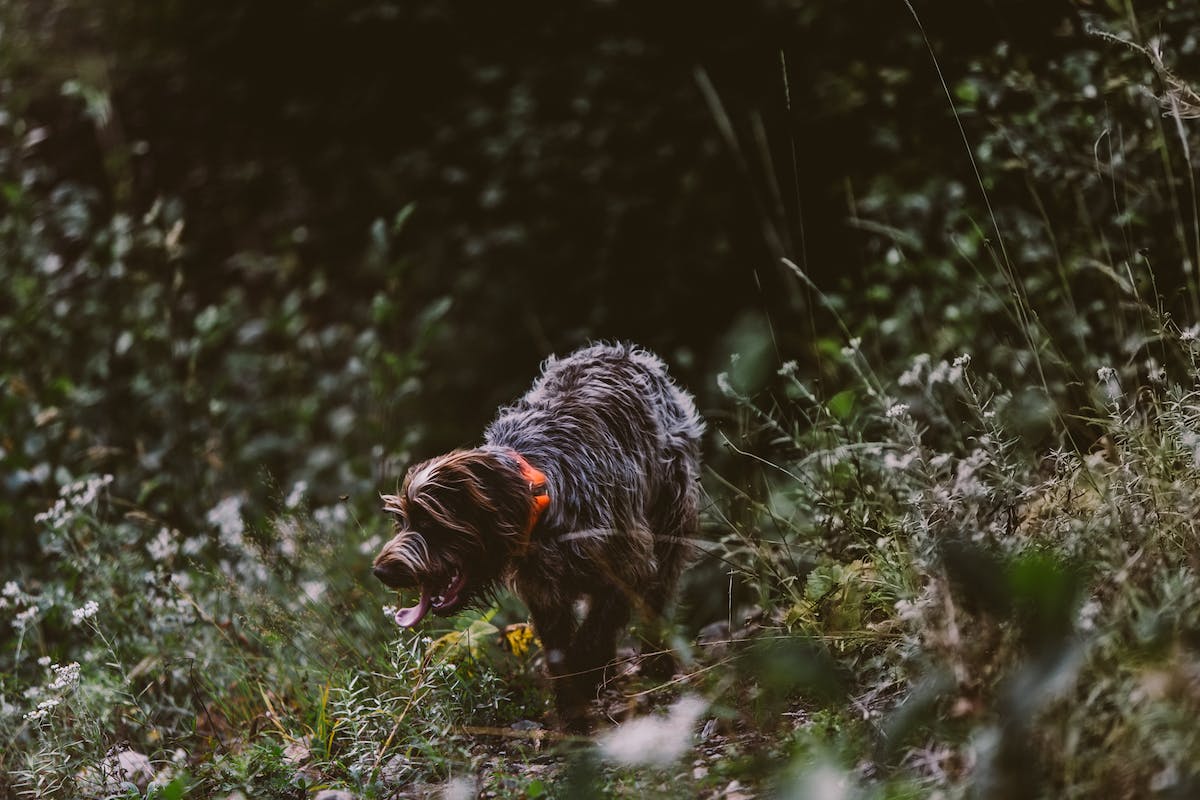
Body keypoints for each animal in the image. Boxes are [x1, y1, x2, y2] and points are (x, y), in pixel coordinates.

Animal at [372, 340, 700, 729]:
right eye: (402, 522)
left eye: (427, 522)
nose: (380, 571)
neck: (544, 494)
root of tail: (623, 352)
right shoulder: (545, 594)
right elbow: (561, 651)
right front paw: (573, 708)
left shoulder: (628, 565)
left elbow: (593, 636)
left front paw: (586, 681)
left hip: (671, 518)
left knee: (660, 597)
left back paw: (656, 661)